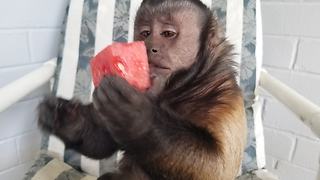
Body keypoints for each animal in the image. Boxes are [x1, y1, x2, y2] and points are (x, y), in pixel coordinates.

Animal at [38, 0, 248, 179]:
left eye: (167, 33)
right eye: (145, 33)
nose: (150, 48)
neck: (184, 87)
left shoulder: (223, 98)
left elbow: (215, 168)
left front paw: (135, 117)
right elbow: (102, 142)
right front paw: (63, 116)